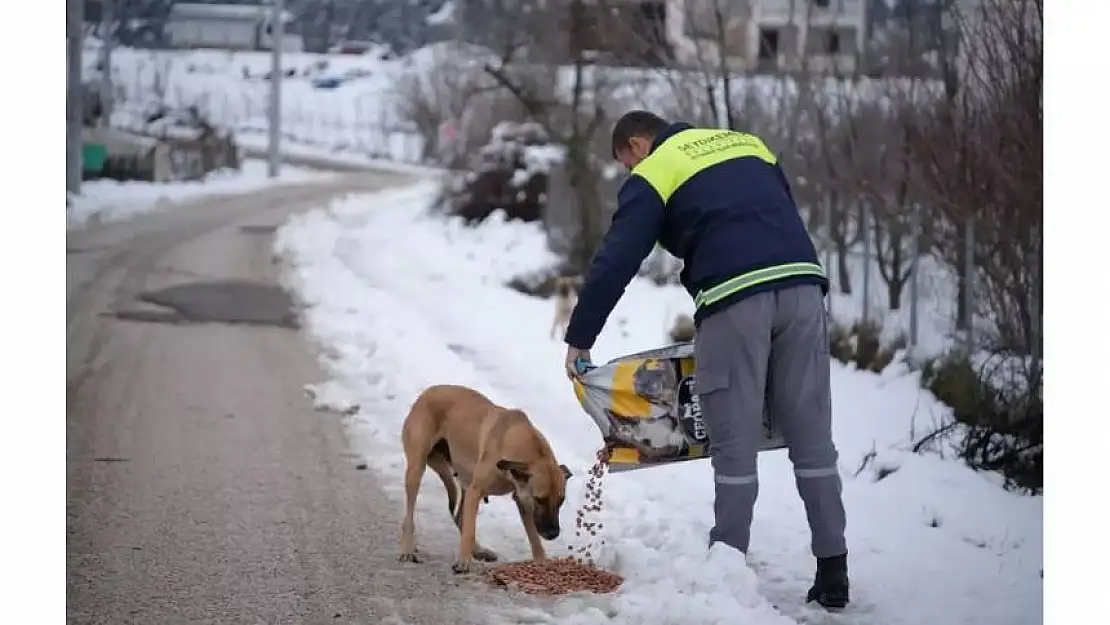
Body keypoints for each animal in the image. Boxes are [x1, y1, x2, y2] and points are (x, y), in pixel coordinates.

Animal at [397, 384, 572, 572]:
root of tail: (425, 393)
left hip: (465, 480)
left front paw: (542, 562)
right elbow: (470, 531)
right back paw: (407, 549)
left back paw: (479, 551)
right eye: (540, 499)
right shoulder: (477, 491)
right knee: (410, 517)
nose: (553, 534)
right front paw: (463, 562)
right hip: (417, 469)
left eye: (561, 501)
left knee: (460, 518)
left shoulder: (522, 499)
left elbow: (534, 537)